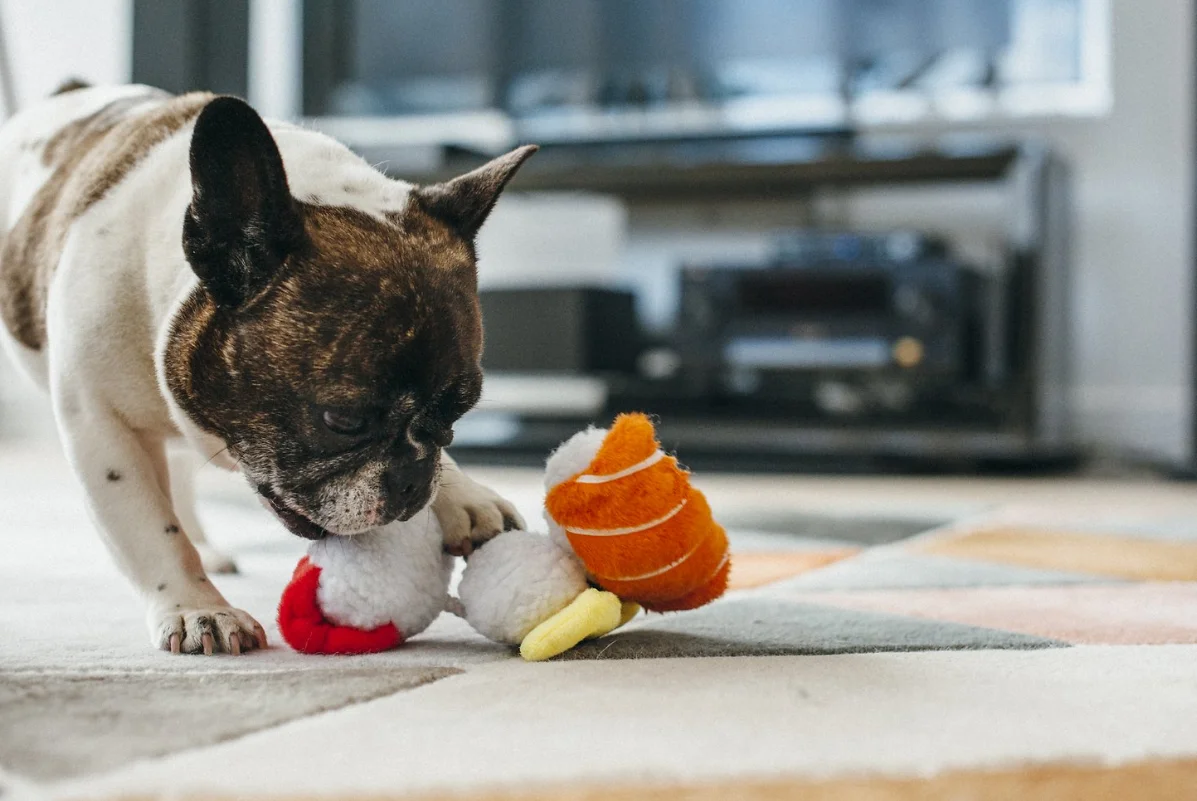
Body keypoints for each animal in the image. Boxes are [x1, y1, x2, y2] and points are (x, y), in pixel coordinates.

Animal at [0, 82, 533, 656]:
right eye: (343, 421)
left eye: (455, 419)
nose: (411, 483)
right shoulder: (103, 431)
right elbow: (150, 528)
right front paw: (198, 609)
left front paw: (464, 495)